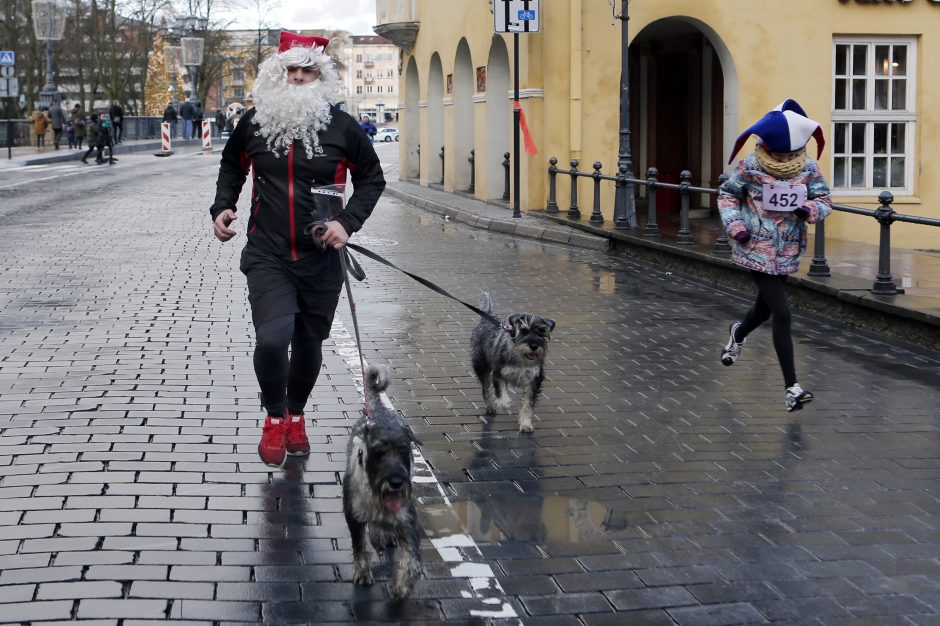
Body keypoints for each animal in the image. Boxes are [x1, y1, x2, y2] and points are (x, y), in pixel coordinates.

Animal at [342, 366, 422, 600]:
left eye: (404, 450)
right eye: (379, 452)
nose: (396, 482)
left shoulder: (407, 518)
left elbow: (412, 560)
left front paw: (402, 586)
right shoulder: (353, 515)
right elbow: (360, 545)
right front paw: (362, 574)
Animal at [468, 292, 556, 428]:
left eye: (542, 332)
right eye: (524, 331)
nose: (534, 346)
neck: (521, 359)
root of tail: (485, 318)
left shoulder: (534, 381)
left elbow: (527, 405)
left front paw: (525, 424)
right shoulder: (498, 373)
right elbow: (501, 391)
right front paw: (504, 403)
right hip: (482, 368)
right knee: (485, 390)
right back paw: (490, 407)